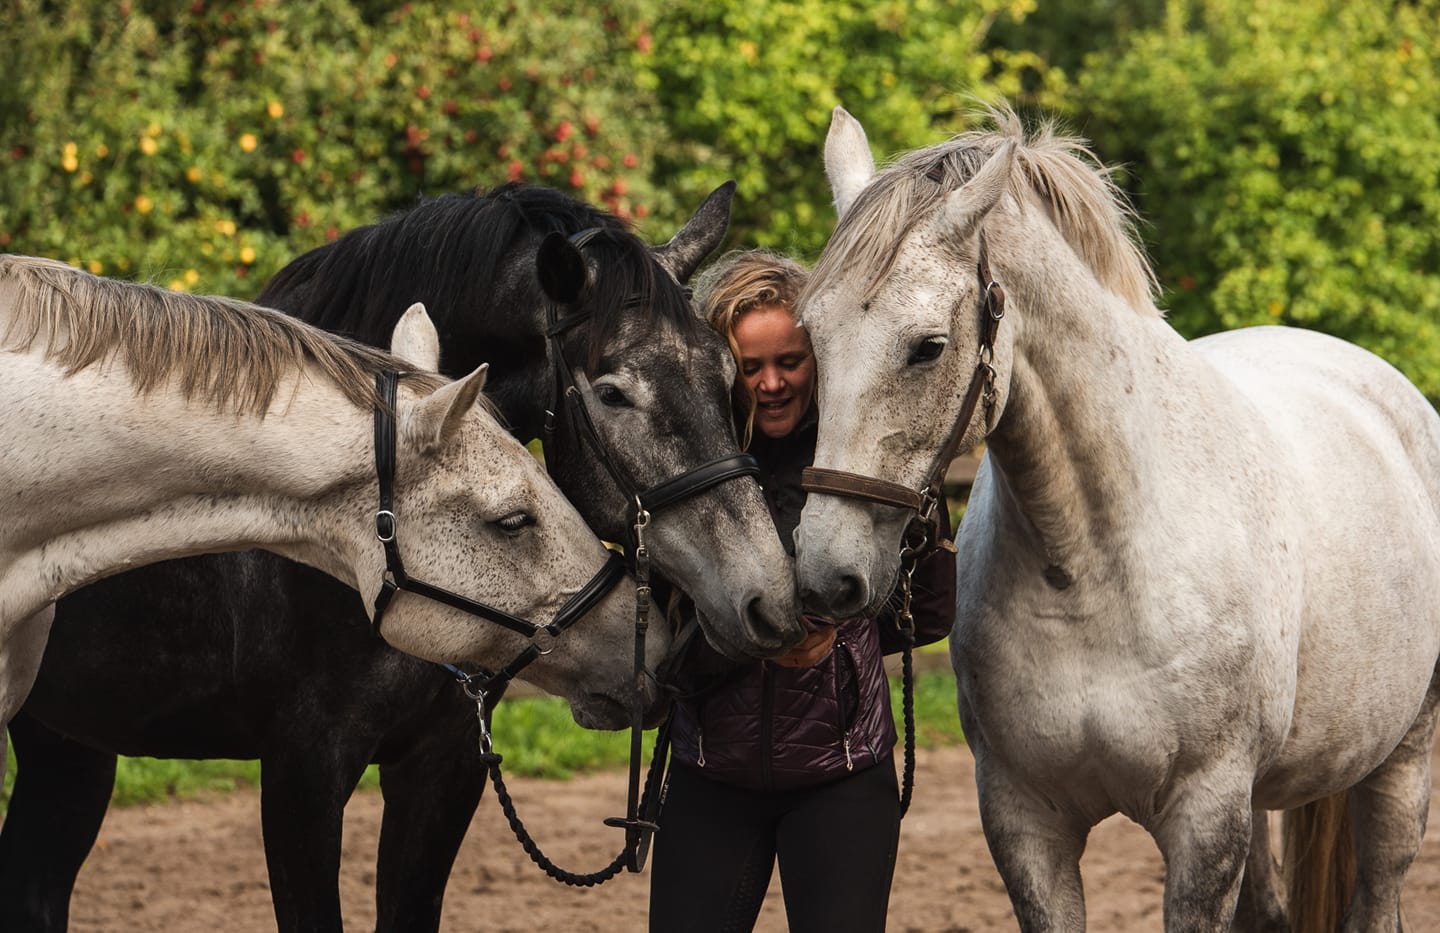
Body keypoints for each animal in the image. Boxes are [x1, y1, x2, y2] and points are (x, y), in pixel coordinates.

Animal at [794, 103, 1440, 933]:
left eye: (927, 347)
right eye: (810, 339)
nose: (825, 575)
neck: (1092, 568)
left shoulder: (1206, 821)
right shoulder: (1024, 823)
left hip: (1401, 762)